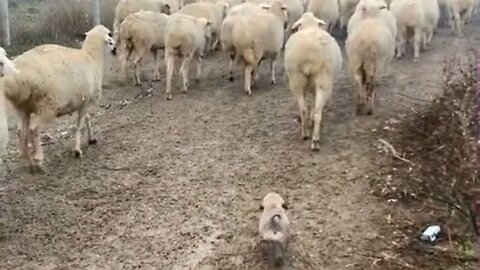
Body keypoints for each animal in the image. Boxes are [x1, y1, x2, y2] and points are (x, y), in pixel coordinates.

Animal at [0, 25, 116, 173]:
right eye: (110, 40)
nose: (115, 50)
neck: (91, 57)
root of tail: (15, 77)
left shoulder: (84, 102)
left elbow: (87, 119)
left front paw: (91, 139)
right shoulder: (86, 103)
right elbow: (79, 126)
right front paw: (77, 150)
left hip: (22, 107)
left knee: (21, 132)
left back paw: (28, 161)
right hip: (48, 105)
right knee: (34, 129)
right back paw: (38, 160)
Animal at [284, 12, 342, 150]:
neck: (309, 25)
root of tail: (308, 59)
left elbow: (309, 102)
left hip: (296, 80)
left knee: (303, 109)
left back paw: (305, 134)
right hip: (324, 81)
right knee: (317, 112)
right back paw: (315, 140)